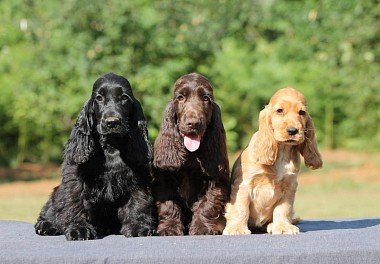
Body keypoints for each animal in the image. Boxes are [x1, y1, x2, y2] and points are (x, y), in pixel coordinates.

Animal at [34, 72, 156, 239]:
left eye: (124, 98)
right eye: (99, 98)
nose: (112, 122)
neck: (111, 146)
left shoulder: (137, 177)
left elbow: (138, 201)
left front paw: (138, 227)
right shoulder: (75, 178)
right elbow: (76, 202)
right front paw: (79, 229)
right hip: (57, 193)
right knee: (52, 208)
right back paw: (46, 226)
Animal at [224, 88, 322, 235]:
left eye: (302, 112)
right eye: (279, 110)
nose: (293, 131)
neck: (282, 151)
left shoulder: (289, 185)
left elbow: (283, 209)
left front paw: (283, 227)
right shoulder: (243, 184)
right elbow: (241, 208)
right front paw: (237, 228)